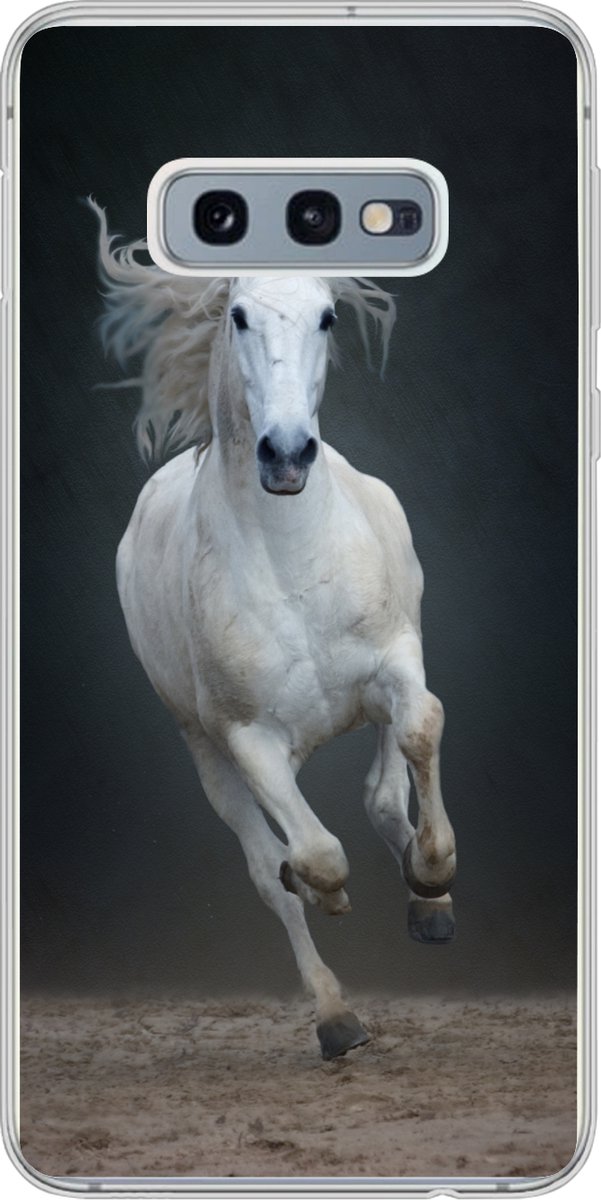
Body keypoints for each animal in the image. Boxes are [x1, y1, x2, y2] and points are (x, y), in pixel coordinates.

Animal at [91, 201, 457, 1060]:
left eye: (327, 316)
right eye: (238, 315)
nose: (285, 454)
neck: (293, 560)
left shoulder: (396, 659)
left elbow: (420, 728)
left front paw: (432, 878)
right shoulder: (245, 738)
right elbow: (311, 857)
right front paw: (330, 898)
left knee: (382, 791)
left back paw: (425, 903)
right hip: (205, 747)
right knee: (271, 868)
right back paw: (335, 1018)